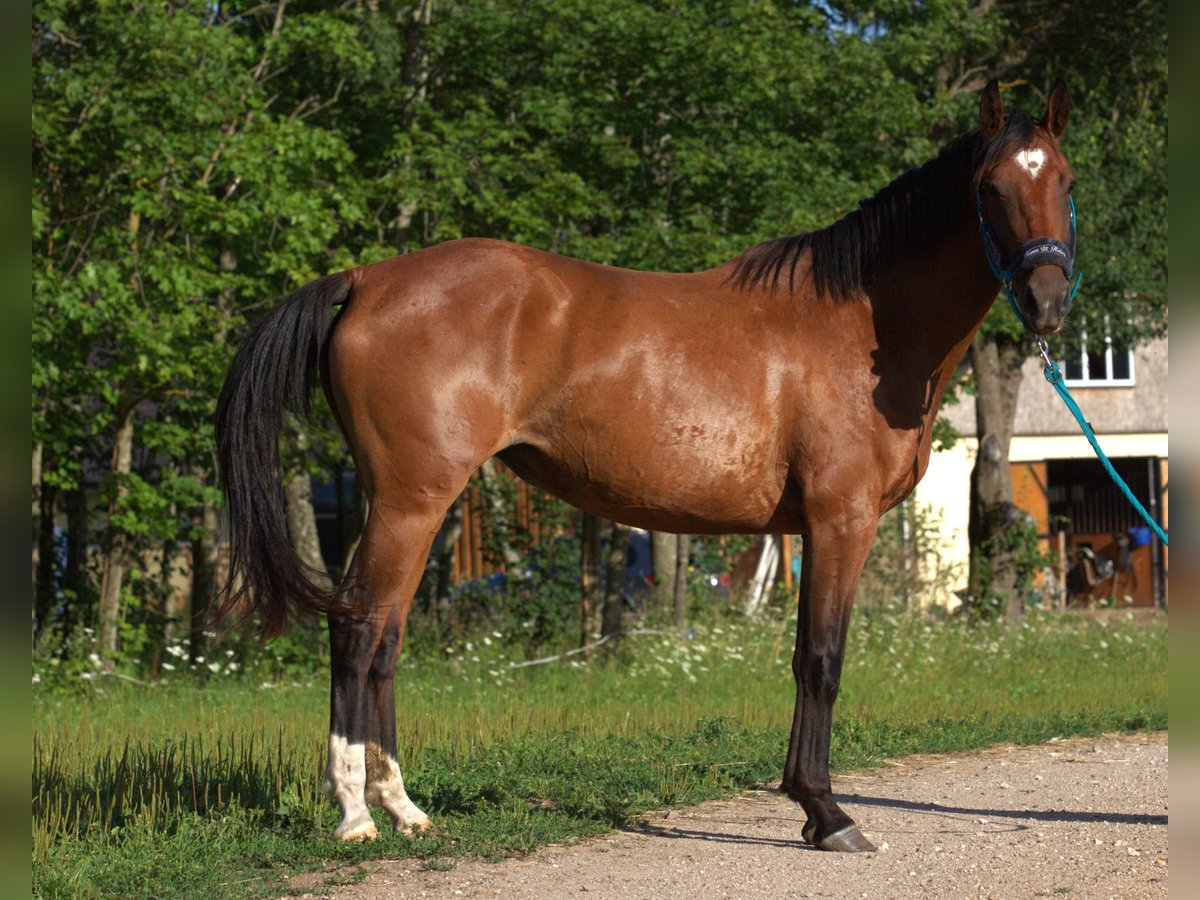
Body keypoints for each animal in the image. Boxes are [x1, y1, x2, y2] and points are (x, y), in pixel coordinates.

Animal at [216, 81, 1080, 854]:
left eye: (1065, 181)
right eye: (991, 187)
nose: (1047, 300)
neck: (864, 321)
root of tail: (366, 279)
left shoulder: (805, 532)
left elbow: (804, 656)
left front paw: (809, 805)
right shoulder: (841, 520)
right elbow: (822, 660)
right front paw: (827, 813)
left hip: (414, 506)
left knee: (386, 636)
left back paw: (404, 809)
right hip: (409, 500)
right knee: (359, 627)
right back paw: (355, 815)